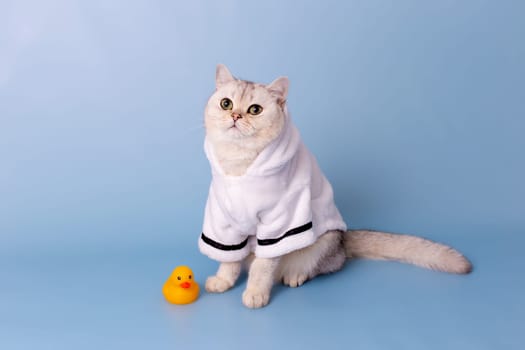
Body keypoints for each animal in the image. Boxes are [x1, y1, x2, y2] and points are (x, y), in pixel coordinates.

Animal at [198, 64, 470, 308]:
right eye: (226, 104)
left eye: (255, 110)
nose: (235, 116)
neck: (238, 164)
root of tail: (344, 239)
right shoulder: (223, 224)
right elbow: (229, 260)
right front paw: (223, 281)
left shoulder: (278, 224)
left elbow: (262, 267)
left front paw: (255, 293)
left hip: (321, 243)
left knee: (321, 266)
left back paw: (296, 275)